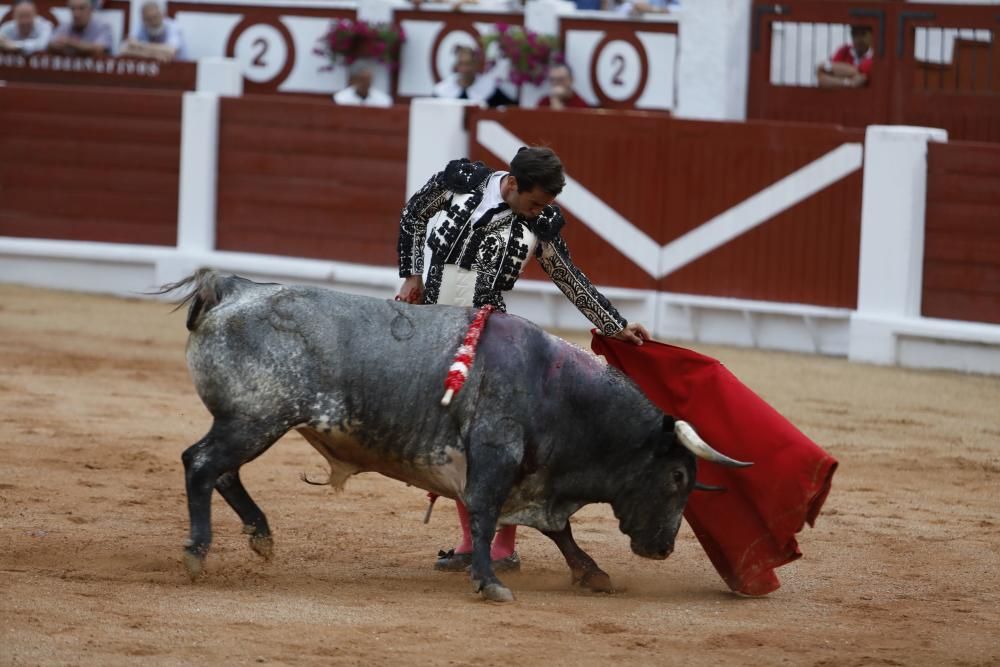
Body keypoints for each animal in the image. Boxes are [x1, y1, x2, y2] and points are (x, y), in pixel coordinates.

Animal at [160, 268, 748, 604]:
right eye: (678, 476)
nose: (664, 548)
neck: (557, 389)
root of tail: (233, 290)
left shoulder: (531, 472)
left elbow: (556, 530)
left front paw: (591, 573)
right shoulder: (496, 454)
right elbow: (488, 515)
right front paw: (490, 583)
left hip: (250, 421)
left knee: (223, 471)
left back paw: (260, 536)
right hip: (256, 418)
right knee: (202, 463)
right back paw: (197, 551)